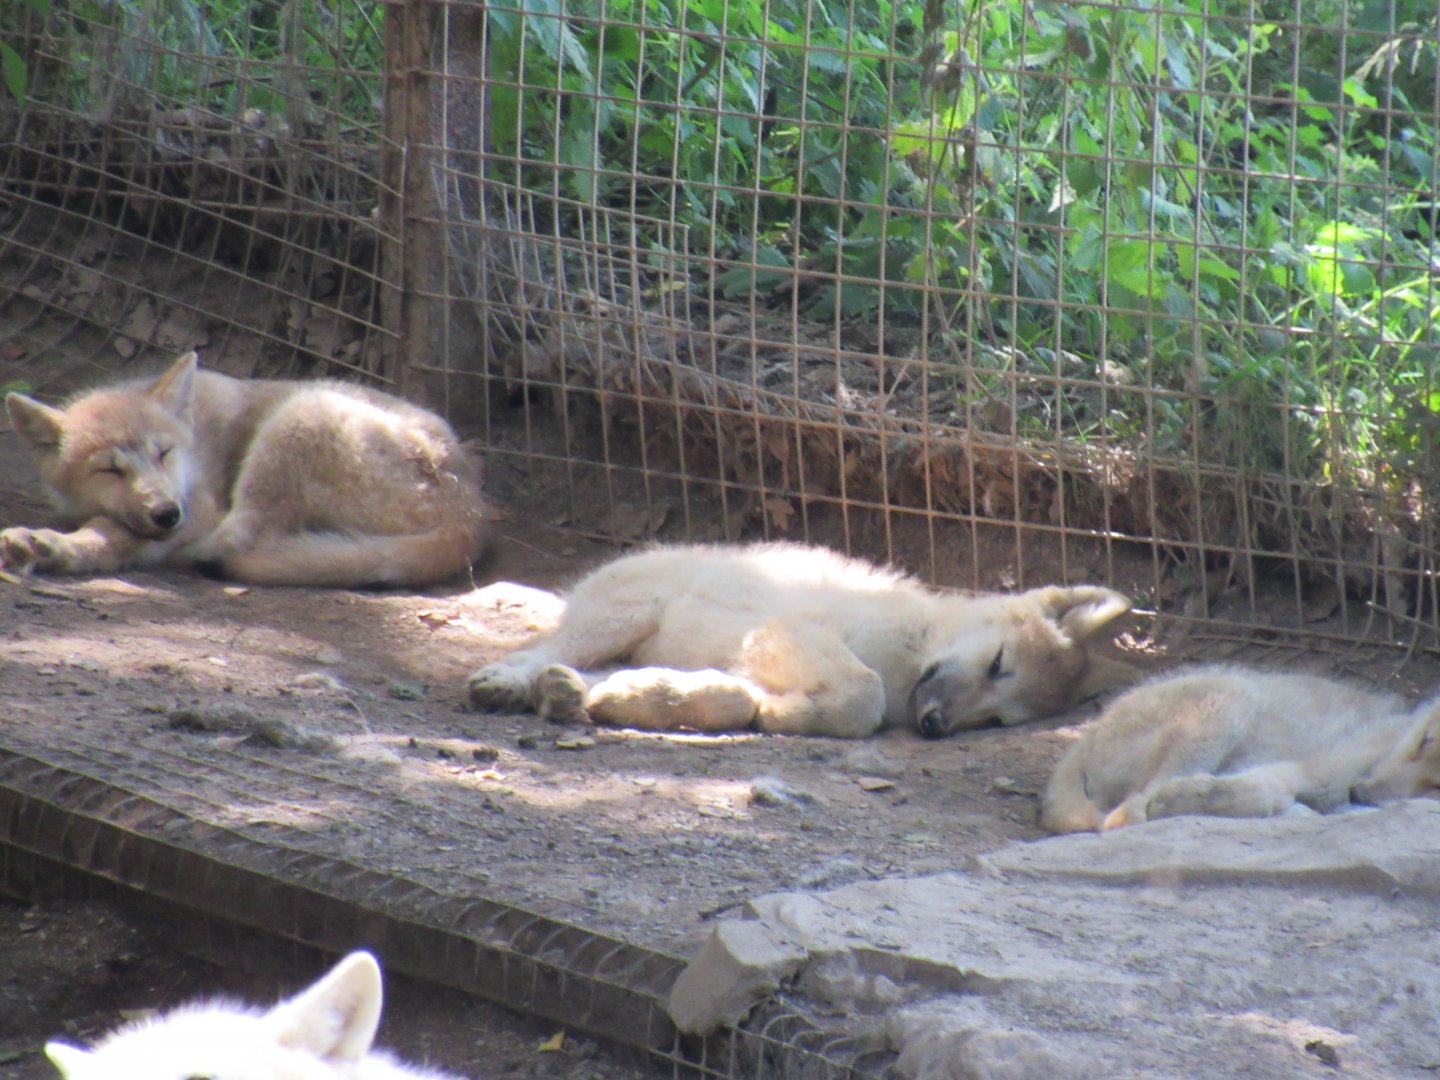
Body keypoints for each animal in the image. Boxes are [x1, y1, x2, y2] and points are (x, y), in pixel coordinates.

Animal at [2, 351, 488, 587]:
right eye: (109, 471)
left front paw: (55, 546)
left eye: (164, 453)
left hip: (296, 419)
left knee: (237, 542)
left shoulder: (199, 508)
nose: (165, 513)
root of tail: (471, 513)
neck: (196, 433)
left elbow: (112, 533)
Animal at [467, 542, 1134, 738]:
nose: (934, 726)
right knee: (537, 651)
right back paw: (509, 685)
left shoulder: (757, 656)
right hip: (620, 616)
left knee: (577, 669)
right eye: (997, 664)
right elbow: (863, 697)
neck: (916, 642)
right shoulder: (786, 631)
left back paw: (566, 695)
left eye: (996, 721)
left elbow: (738, 698)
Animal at [1039, 664, 1440, 832]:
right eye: (1423, 739)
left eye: (1435, 788)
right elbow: (1266, 793)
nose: (1360, 791)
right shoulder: (1314, 768)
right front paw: (1196, 796)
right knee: (1123, 814)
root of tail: (1086, 738)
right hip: (1231, 699)